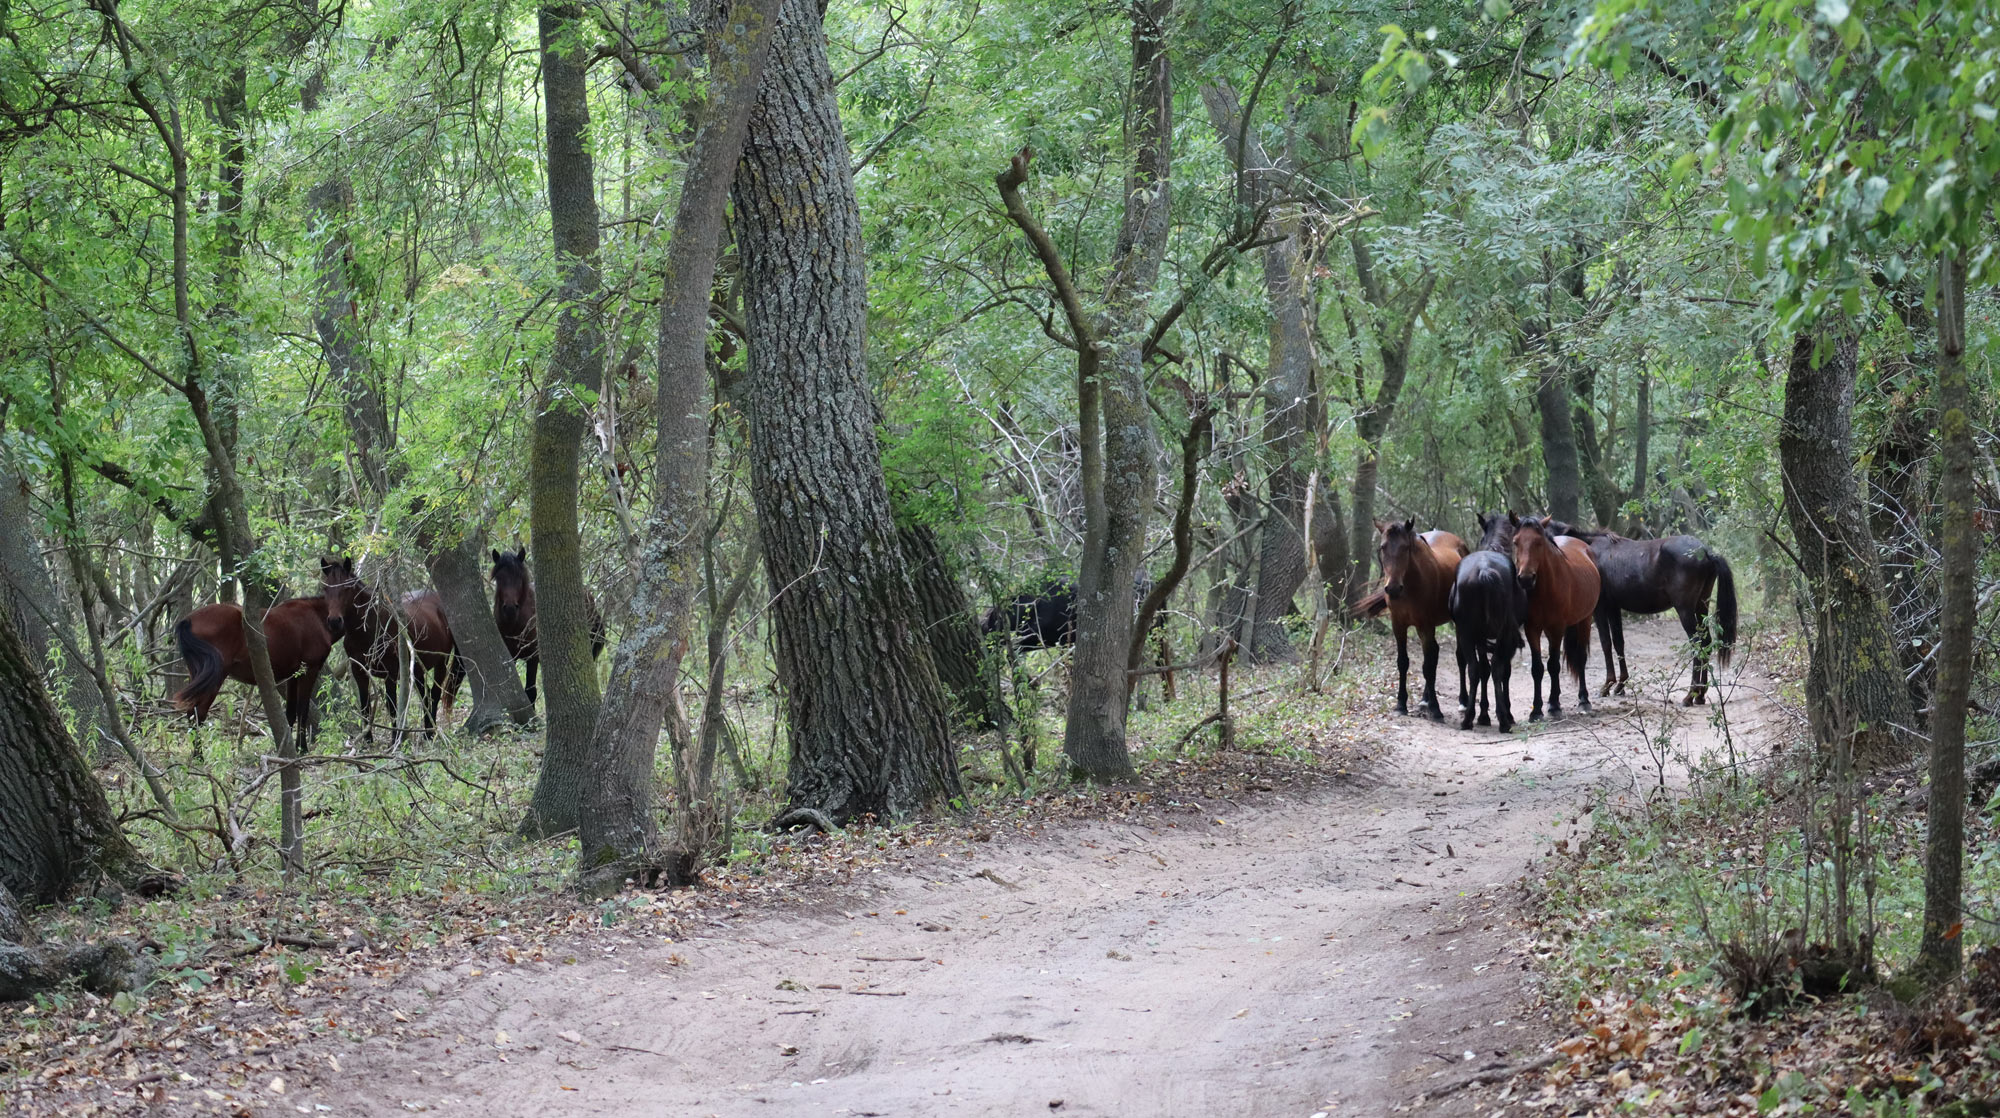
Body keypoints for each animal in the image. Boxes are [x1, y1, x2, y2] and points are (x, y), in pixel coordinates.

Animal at [176, 596, 344, 744]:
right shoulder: (310, 670)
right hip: (216, 678)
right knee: (199, 714)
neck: (316, 616)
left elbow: (290, 712)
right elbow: (303, 710)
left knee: (192, 713)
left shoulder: (293, 676)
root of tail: (188, 620)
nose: (336, 621)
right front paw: (301, 749)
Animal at [318, 556, 462, 744]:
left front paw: (395, 739)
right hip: (417, 669)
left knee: (435, 694)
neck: (370, 628)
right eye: (325, 588)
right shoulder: (359, 671)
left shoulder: (391, 673)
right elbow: (365, 704)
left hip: (441, 662)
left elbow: (392, 705)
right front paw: (367, 740)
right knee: (425, 696)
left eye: (347, 587)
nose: (335, 621)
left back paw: (430, 733)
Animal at [1352, 520, 1464, 720]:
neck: (1411, 586)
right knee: (1434, 654)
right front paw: (1401, 704)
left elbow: (1427, 666)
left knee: (1458, 656)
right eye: (1383, 547)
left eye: (1405, 547)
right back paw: (1424, 701)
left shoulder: (1425, 626)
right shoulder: (1399, 625)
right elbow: (1404, 662)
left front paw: (1436, 709)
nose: (1393, 588)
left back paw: (1462, 702)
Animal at [1512, 520, 1608, 720]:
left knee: (1580, 658)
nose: (1526, 578)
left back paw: (1584, 700)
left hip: (1584, 620)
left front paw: (1554, 705)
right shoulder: (1532, 629)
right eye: (1515, 542)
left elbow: (1553, 665)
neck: (1544, 590)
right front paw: (1537, 710)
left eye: (1539, 542)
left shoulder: (1556, 629)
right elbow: (1537, 668)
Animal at [1544, 520, 1736, 704]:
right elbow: (1618, 642)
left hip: (1685, 610)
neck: (1588, 552)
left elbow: (1606, 643)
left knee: (1697, 644)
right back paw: (1700, 695)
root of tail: (1705, 552)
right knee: (1707, 642)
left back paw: (1690, 695)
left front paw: (1607, 685)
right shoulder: (1614, 607)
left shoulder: (1600, 607)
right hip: (1701, 606)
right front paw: (1620, 685)